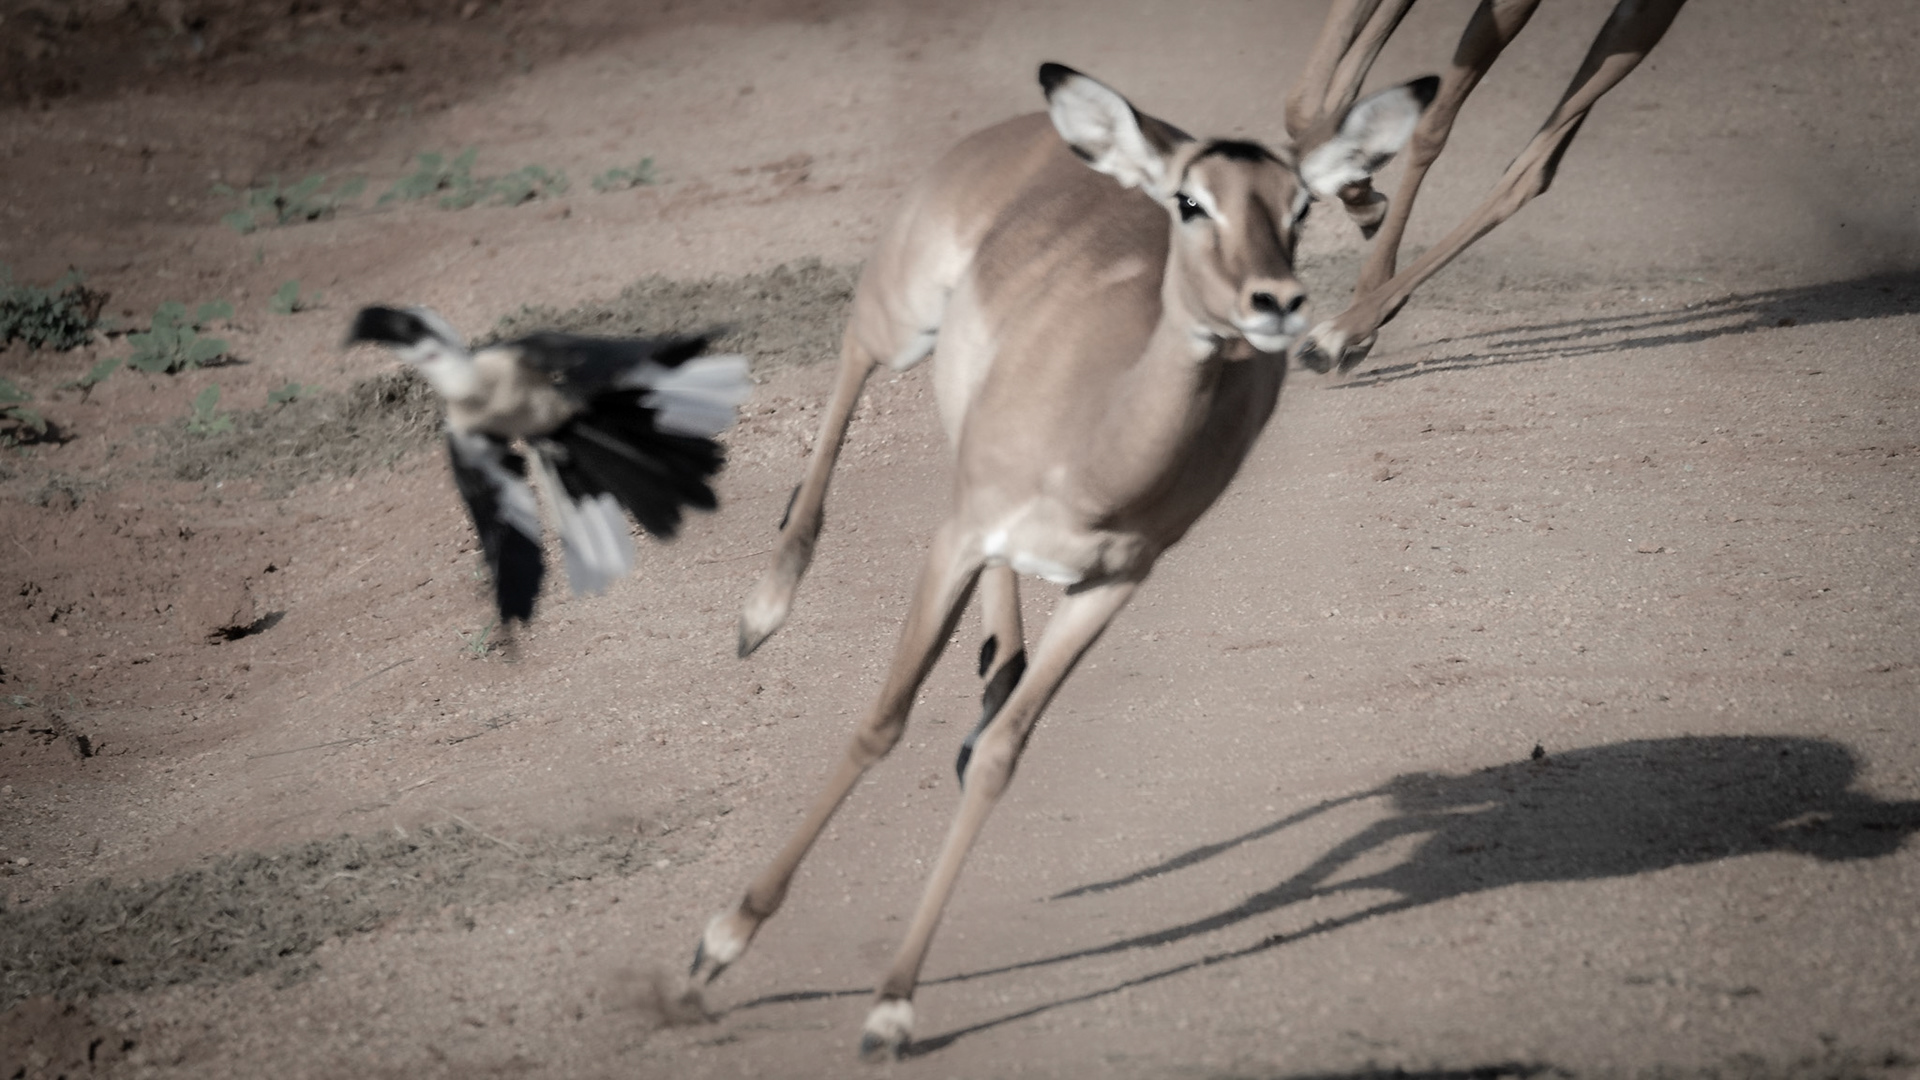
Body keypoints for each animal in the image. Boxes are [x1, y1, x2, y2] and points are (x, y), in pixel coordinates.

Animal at [686, 61, 1437, 1059]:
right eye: (1190, 202)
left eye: (1299, 205)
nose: (1275, 304)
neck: (1095, 443)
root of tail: (1030, 130)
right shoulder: (957, 536)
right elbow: (880, 724)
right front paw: (718, 947)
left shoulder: (1115, 582)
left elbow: (1005, 757)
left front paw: (892, 1005)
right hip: (906, 317)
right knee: (851, 355)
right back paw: (764, 612)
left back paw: (992, 669)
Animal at [1283, 0, 1689, 373]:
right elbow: (1307, 104)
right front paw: (1358, 192)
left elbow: (1429, 131)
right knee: (1543, 161)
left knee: (1529, 169)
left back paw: (1336, 334)